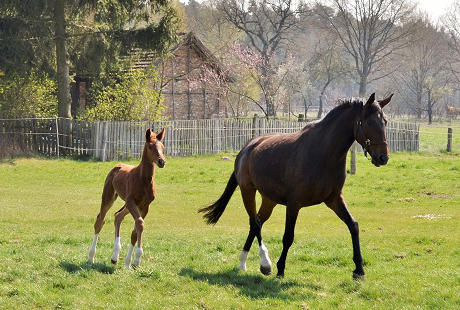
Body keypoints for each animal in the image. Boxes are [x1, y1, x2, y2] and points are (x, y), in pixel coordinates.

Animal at [87, 127, 165, 268]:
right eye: (150, 147)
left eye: (162, 147)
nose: (162, 161)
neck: (144, 179)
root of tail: (117, 165)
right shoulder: (131, 201)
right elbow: (139, 223)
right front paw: (137, 259)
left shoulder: (145, 206)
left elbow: (136, 230)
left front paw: (130, 263)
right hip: (109, 197)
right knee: (100, 220)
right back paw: (91, 257)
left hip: (130, 205)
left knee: (118, 216)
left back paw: (115, 257)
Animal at [199, 92, 394, 278]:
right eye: (369, 123)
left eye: (384, 121)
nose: (383, 157)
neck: (323, 154)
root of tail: (247, 148)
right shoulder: (294, 204)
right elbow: (288, 236)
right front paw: (280, 269)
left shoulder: (334, 199)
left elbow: (353, 226)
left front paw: (359, 270)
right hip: (247, 191)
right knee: (254, 222)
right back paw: (265, 264)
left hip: (269, 200)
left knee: (257, 222)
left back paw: (243, 262)